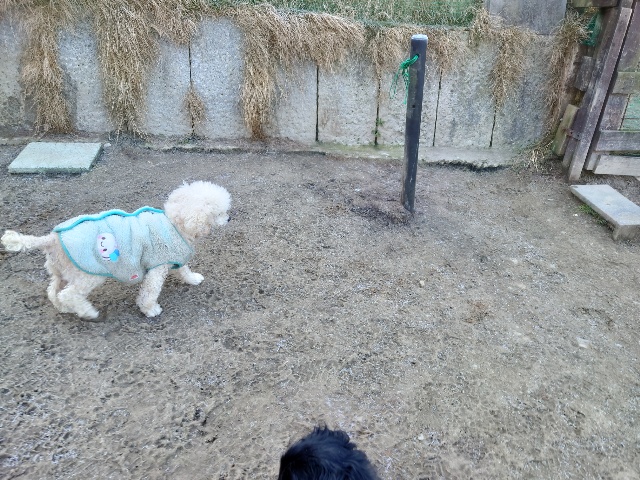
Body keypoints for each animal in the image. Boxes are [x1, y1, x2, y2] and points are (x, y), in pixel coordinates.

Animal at [1, 181, 231, 320]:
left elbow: (184, 270)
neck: (175, 224)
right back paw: (87, 311)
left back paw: (64, 308)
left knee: (53, 291)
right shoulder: (158, 266)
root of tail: (51, 239)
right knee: (70, 294)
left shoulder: (173, 257)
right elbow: (150, 291)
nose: (229, 218)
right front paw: (150, 309)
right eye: (219, 213)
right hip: (89, 274)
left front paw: (193, 279)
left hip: (60, 271)